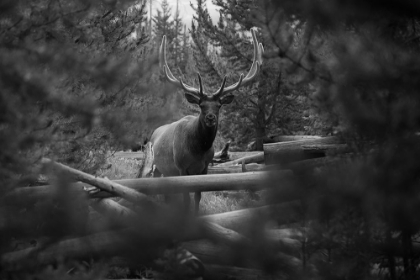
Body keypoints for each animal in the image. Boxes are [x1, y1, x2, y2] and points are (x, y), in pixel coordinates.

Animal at [151, 27, 262, 212]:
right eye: (201, 105)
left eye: (219, 105)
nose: (210, 117)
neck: (198, 150)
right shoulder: (181, 167)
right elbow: (186, 199)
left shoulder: (204, 168)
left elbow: (198, 196)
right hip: (155, 166)